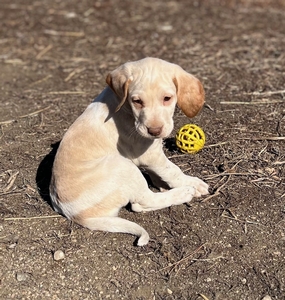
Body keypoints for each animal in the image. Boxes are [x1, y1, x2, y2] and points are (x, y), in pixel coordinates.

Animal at [50, 57, 207, 245]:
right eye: (137, 101)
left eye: (167, 98)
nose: (154, 131)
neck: (123, 105)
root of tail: (74, 214)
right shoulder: (150, 154)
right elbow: (172, 171)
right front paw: (192, 183)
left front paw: (161, 183)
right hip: (123, 167)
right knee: (142, 202)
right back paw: (184, 193)